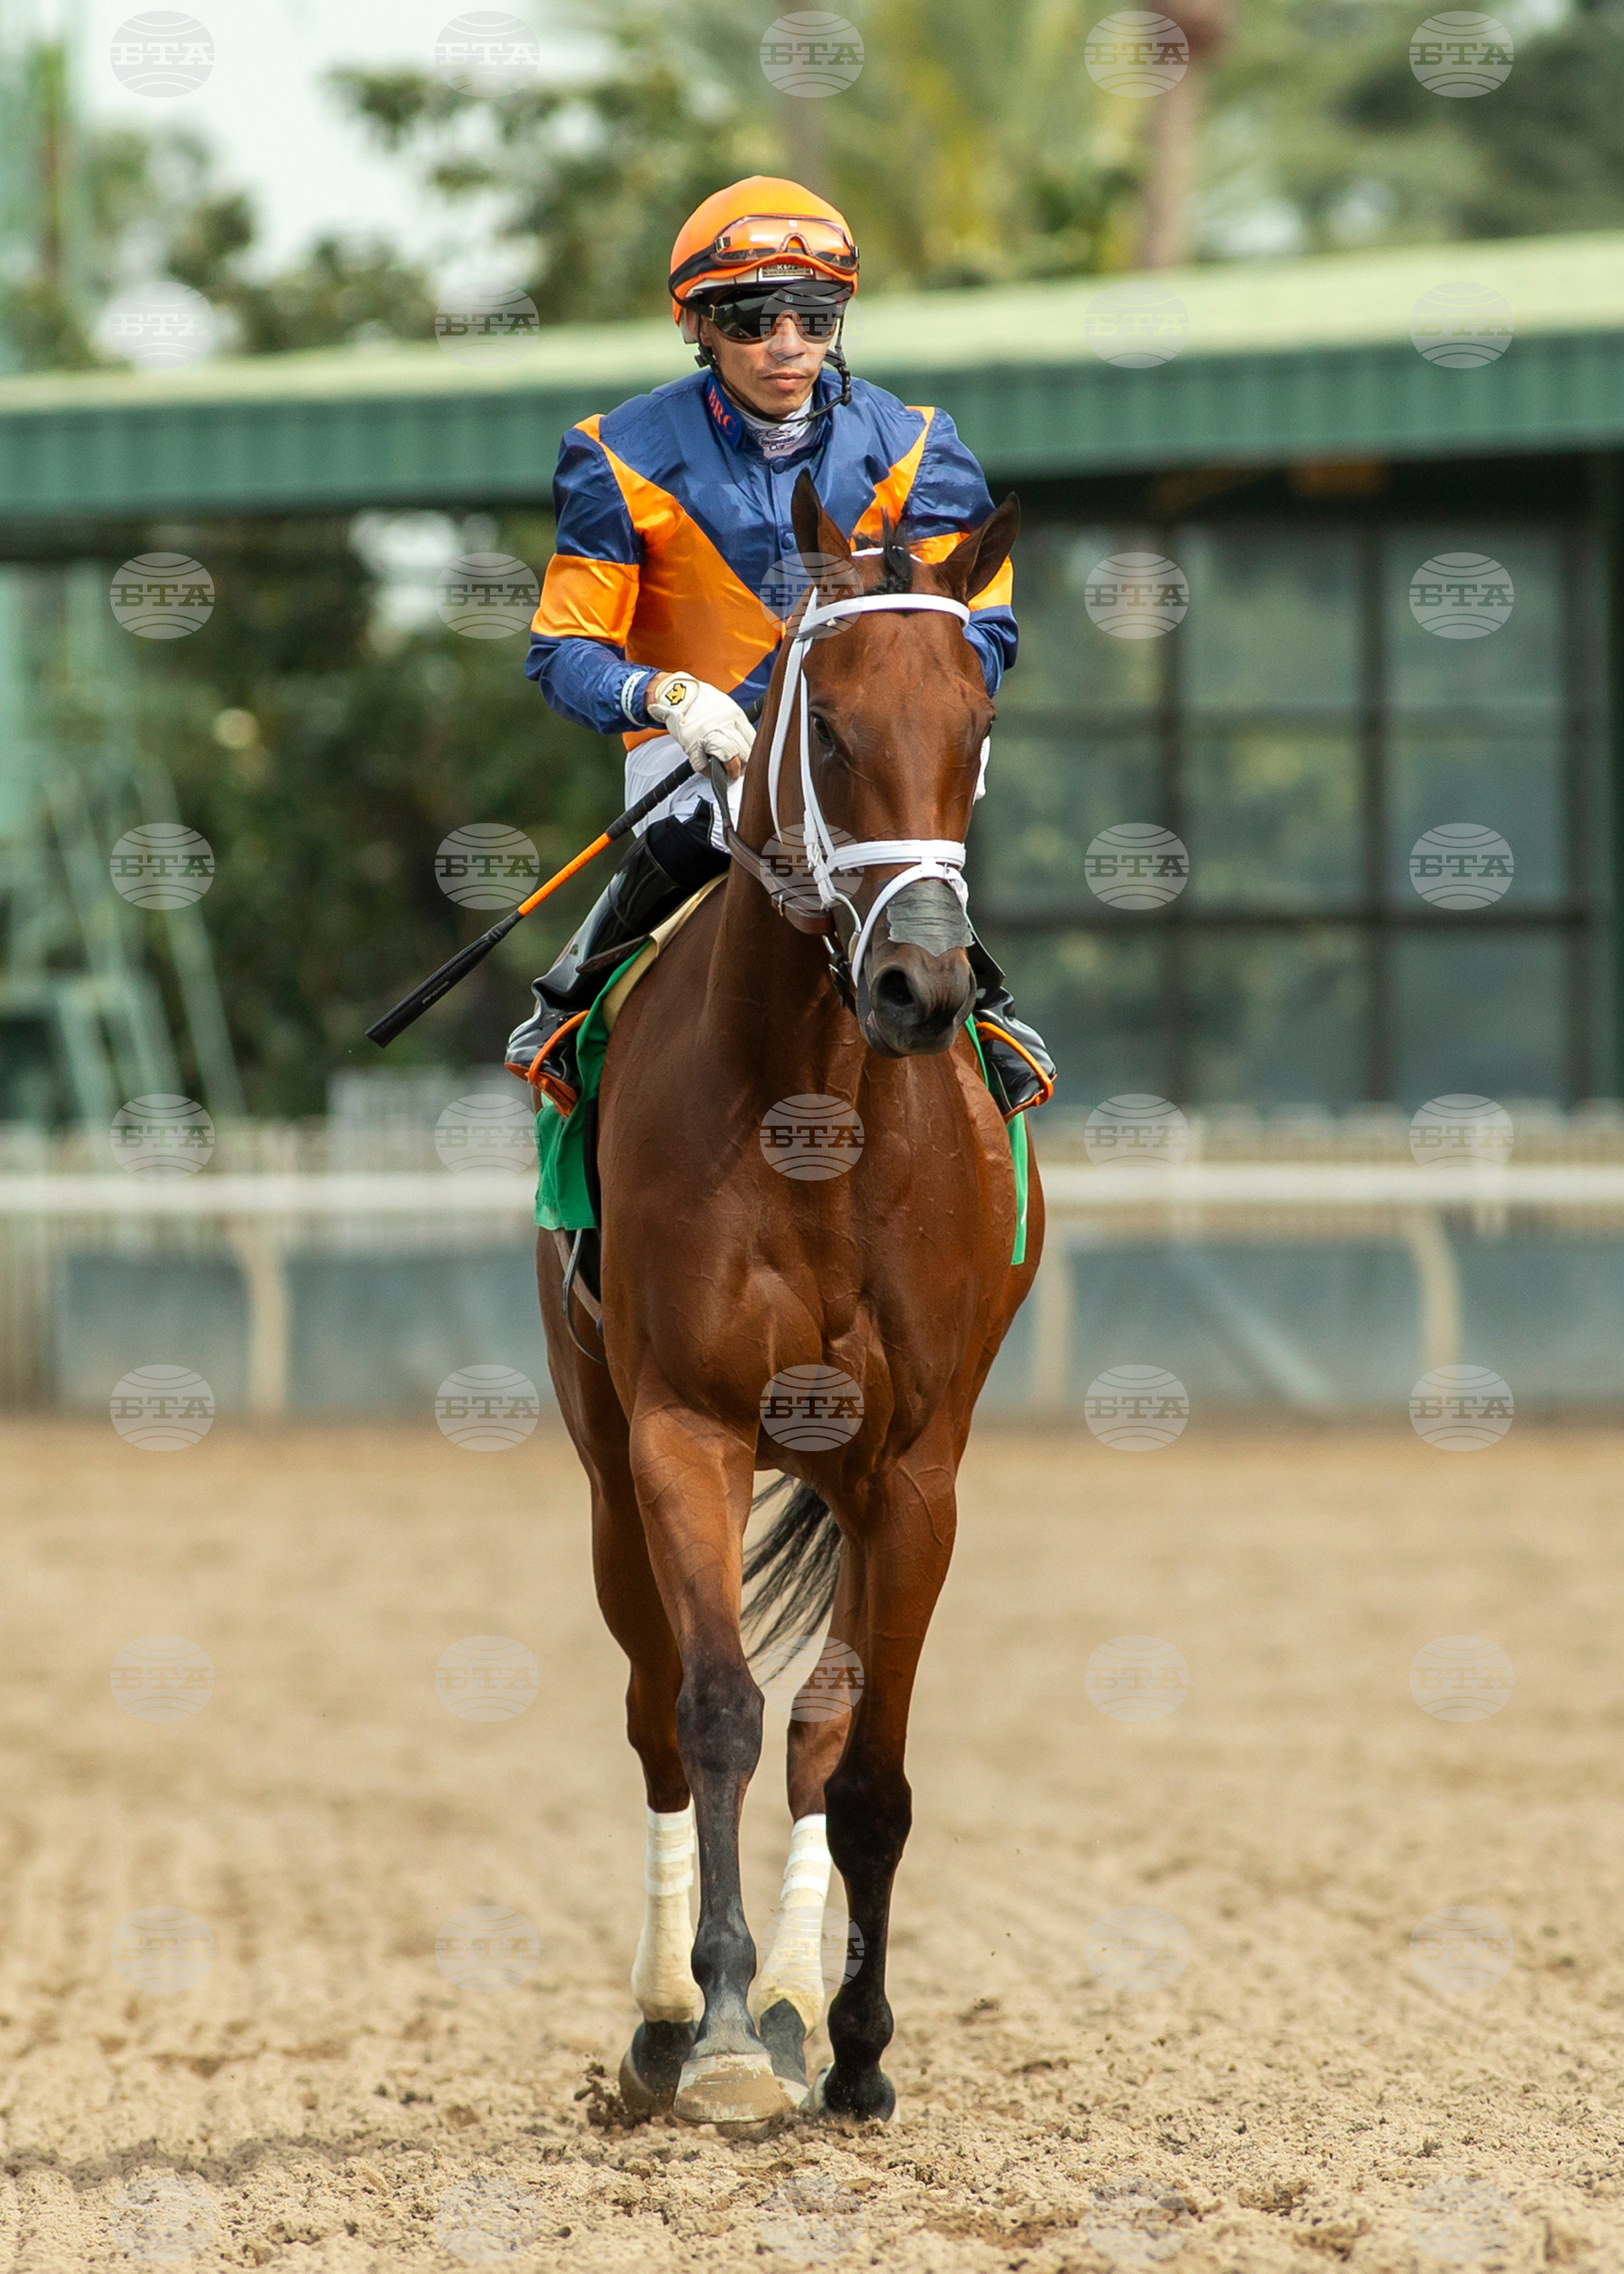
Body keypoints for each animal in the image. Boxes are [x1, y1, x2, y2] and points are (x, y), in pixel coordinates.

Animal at [534, 468, 1043, 2130]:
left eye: (975, 721)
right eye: (826, 727)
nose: (919, 989)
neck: (814, 1118)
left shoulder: (917, 1468)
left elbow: (859, 1757)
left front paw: (857, 2041)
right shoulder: (681, 1431)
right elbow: (713, 1712)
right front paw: (712, 2022)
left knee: (819, 1734)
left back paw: (805, 2006)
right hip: (602, 1460)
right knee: (650, 1705)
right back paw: (665, 2021)